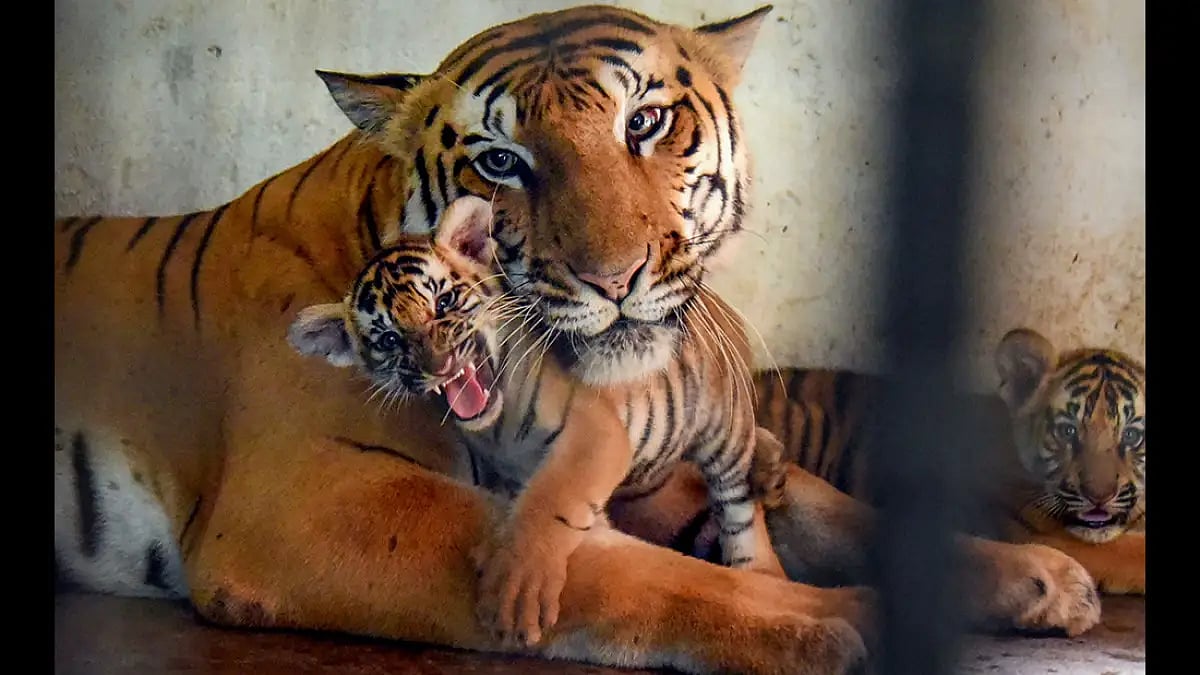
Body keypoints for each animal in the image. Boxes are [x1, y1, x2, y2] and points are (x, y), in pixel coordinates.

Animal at [53, 4, 1099, 673]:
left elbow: (833, 509)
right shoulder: (307, 500)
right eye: (500, 161)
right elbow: (617, 568)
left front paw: (1044, 578)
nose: (615, 279)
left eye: (648, 122)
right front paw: (833, 619)